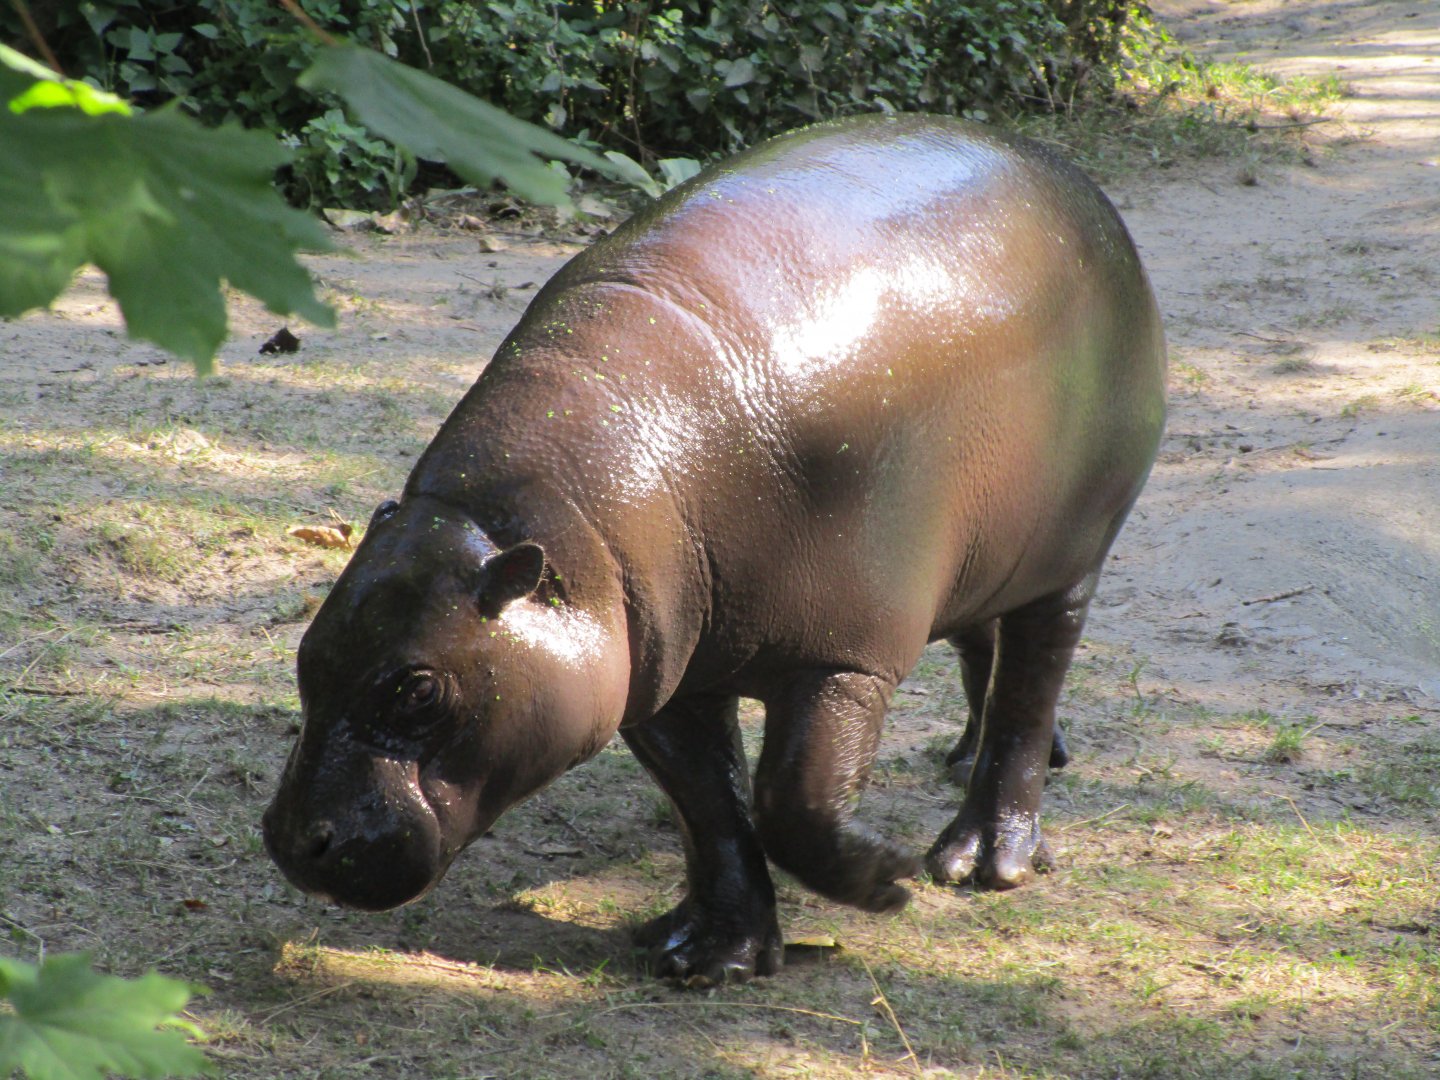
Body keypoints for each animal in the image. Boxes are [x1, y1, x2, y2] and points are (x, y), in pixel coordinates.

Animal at [264, 114, 1166, 984]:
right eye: (307, 652)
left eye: (417, 689)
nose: (290, 841)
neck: (557, 530)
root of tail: (1075, 181)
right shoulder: (661, 670)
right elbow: (711, 808)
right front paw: (702, 955)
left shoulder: (843, 661)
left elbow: (791, 802)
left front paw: (890, 880)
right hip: (979, 554)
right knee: (986, 645)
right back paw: (976, 760)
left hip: (1073, 551)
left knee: (1030, 681)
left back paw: (979, 861)